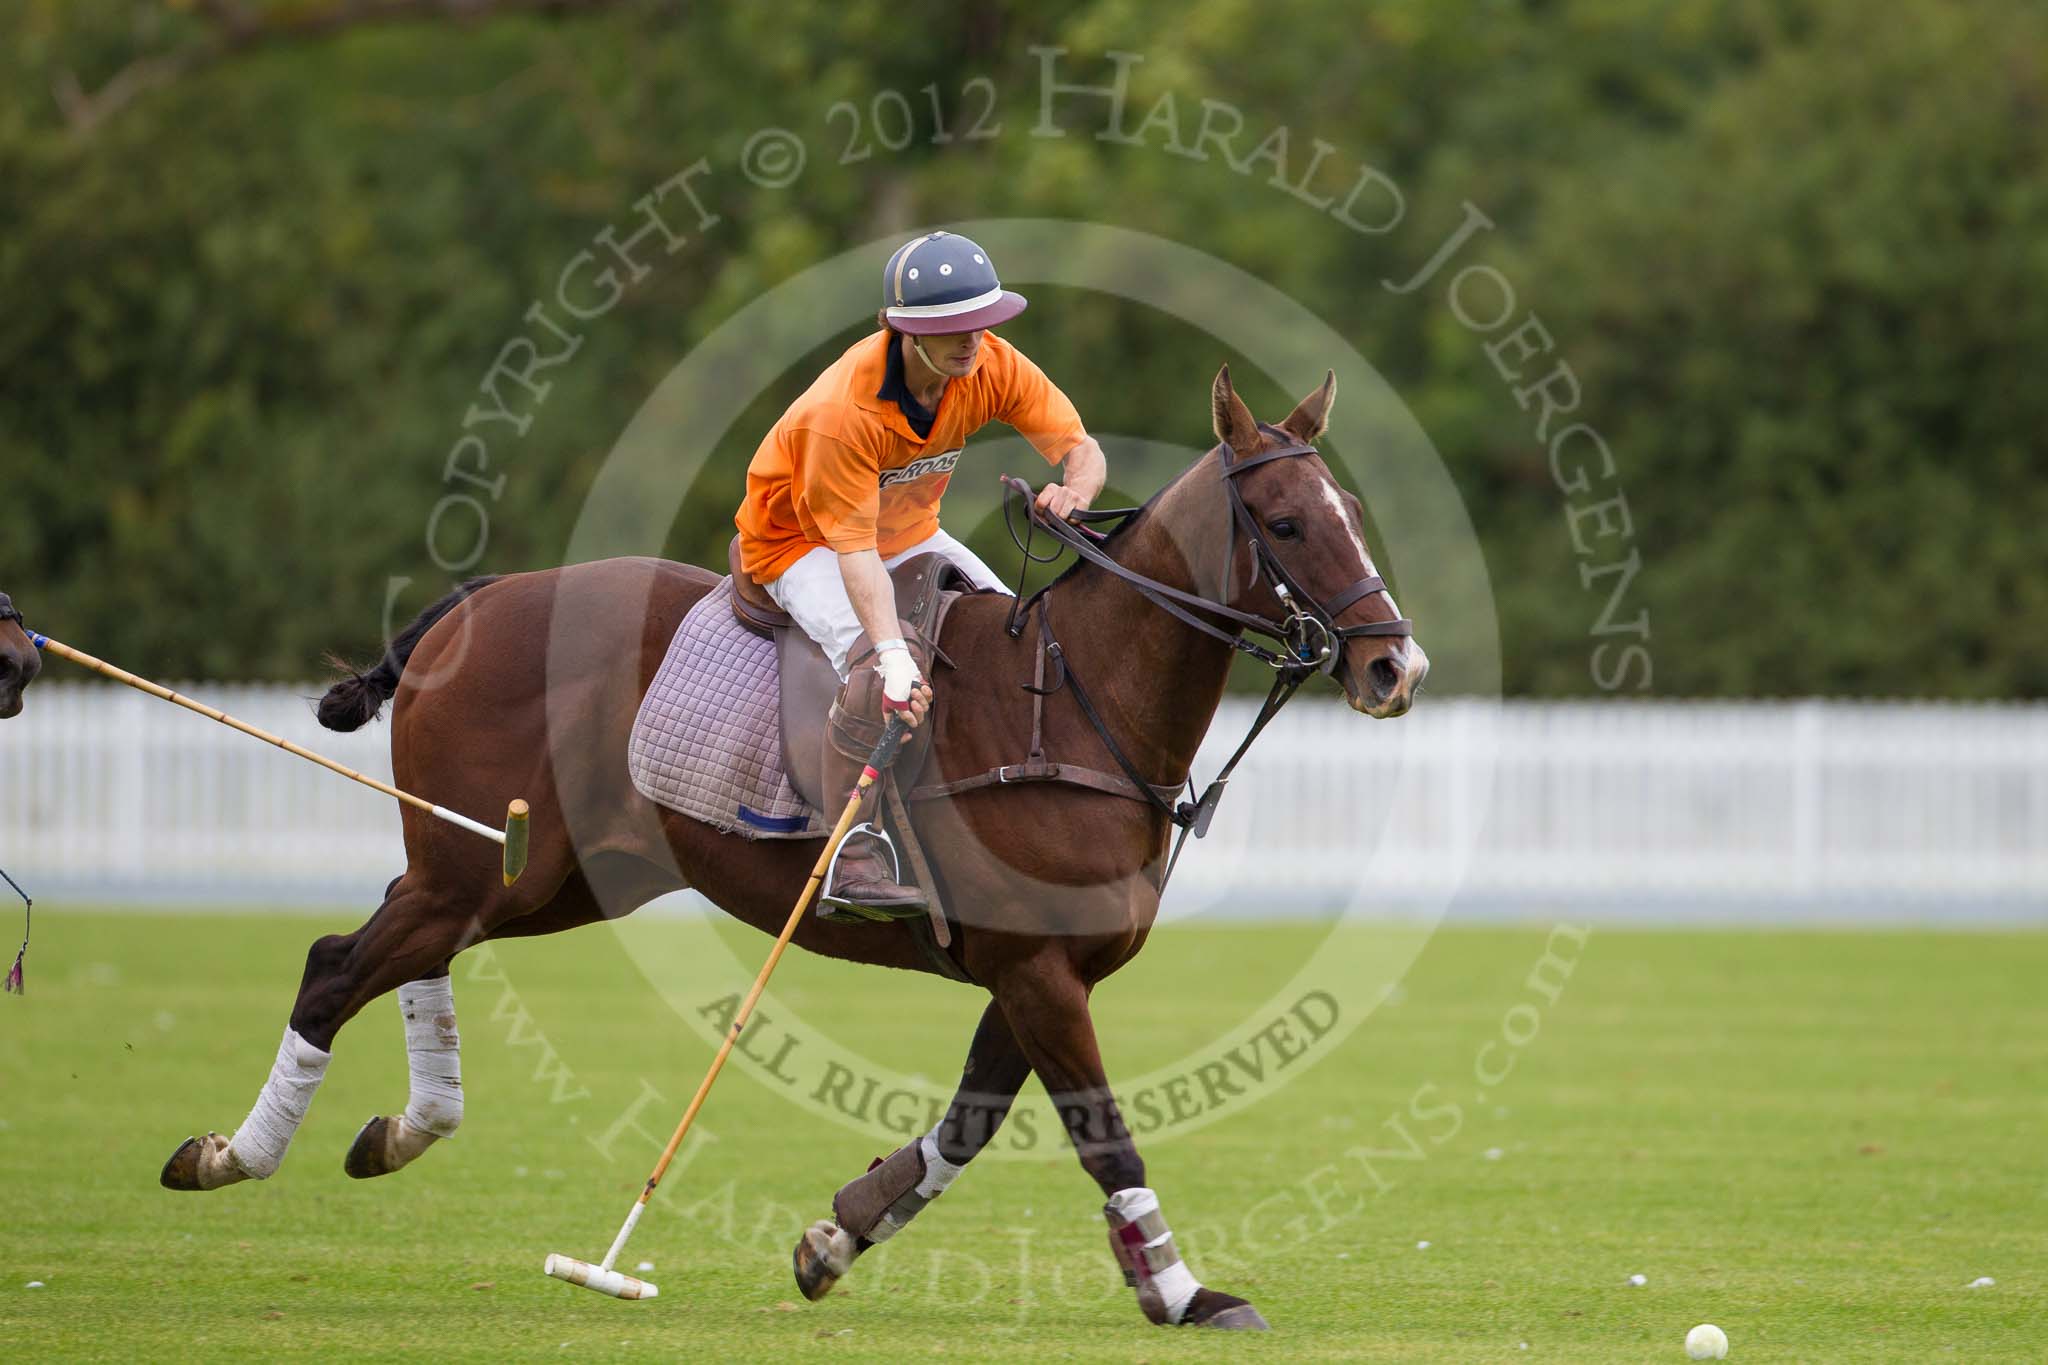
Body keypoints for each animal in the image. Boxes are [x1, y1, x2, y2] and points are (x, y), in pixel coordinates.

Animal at [32, 368, 1425, 1326]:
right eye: (1285, 525)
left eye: (1352, 508)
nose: (1391, 667)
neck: (1074, 701)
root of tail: (469, 604)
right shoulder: (1035, 969)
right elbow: (1099, 1131)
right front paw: (1188, 1295)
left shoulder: (1036, 968)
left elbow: (968, 1124)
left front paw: (834, 1237)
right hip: (502, 863)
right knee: (337, 962)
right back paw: (234, 1155)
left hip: (538, 872)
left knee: (397, 938)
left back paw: (401, 1128)